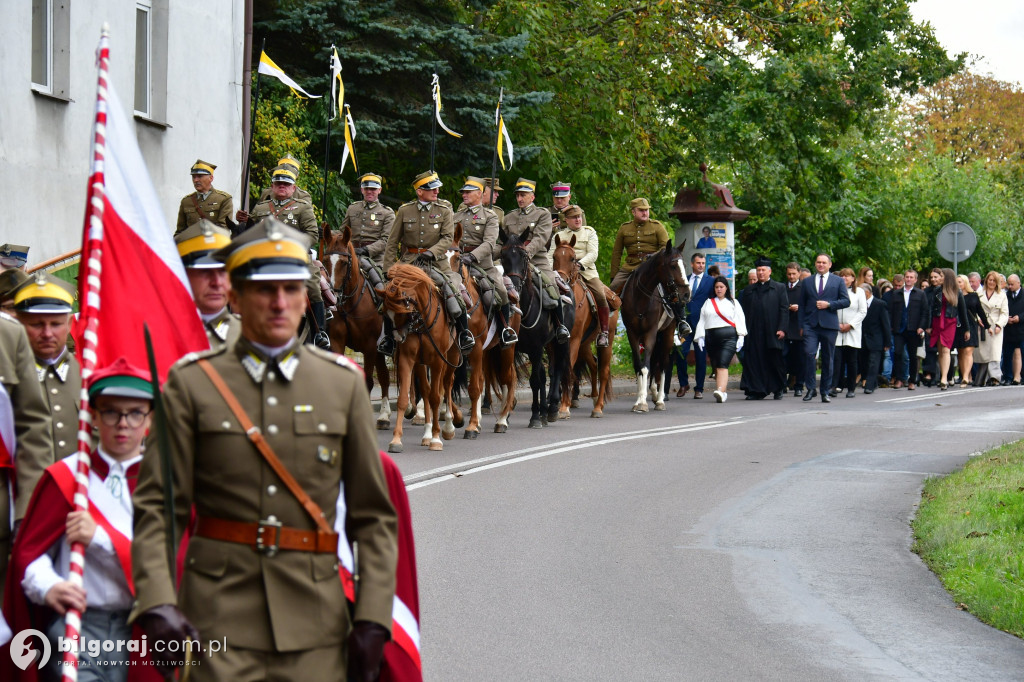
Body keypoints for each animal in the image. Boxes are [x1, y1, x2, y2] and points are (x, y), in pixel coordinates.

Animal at [319, 222, 391, 425]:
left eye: (344, 262)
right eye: (325, 261)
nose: (332, 296)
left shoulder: (370, 347)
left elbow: (368, 381)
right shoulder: (337, 342)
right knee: (385, 376)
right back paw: (384, 415)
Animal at [499, 231, 573, 428]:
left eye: (524, 256)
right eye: (503, 255)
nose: (513, 285)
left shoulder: (536, 349)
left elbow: (534, 381)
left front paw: (534, 417)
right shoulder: (513, 348)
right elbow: (511, 379)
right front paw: (506, 415)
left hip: (560, 342)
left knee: (557, 369)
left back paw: (552, 408)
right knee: (545, 374)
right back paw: (544, 411)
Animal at [548, 233, 618, 417]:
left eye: (573, 258)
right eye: (554, 257)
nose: (561, 280)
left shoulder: (573, 340)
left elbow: (568, 368)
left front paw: (563, 406)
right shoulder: (553, 343)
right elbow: (554, 370)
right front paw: (556, 403)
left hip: (605, 342)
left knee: (603, 371)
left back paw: (598, 407)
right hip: (585, 344)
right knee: (593, 365)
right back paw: (593, 397)